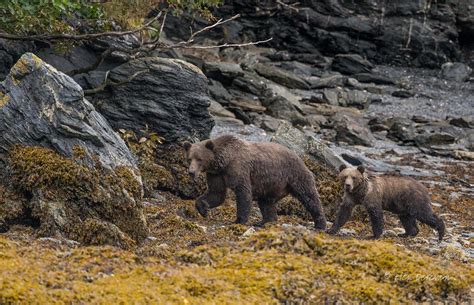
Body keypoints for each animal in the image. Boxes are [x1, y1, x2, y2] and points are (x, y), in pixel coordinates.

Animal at [183, 134, 328, 229]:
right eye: (190, 158)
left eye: (199, 159)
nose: (191, 172)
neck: (224, 161)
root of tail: (299, 157)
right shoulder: (216, 174)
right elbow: (216, 193)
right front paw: (204, 209)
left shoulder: (239, 168)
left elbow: (243, 192)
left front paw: (238, 220)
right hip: (270, 185)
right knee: (266, 202)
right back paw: (265, 221)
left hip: (294, 174)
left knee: (309, 196)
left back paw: (320, 223)